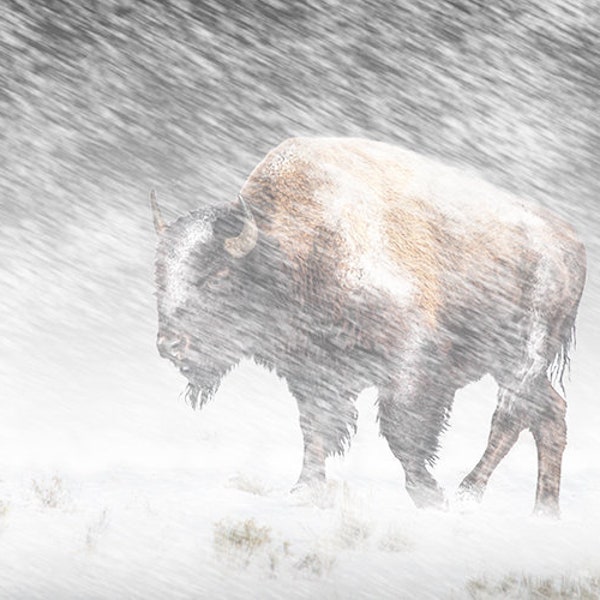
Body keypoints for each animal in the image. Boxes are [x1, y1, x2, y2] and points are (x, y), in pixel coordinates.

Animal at [151, 137, 584, 516]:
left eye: (216, 275)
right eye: (160, 278)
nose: (169, 346)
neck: (302, 245)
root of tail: (571, 243)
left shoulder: (411, 370)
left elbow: (402, 433)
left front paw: (429, 496)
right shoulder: (314, 372)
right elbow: (316, 428)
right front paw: (303, 491)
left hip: (520, 356)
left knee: (510, 418)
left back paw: (467, 495)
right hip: (513, 365)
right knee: (549, 414)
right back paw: (545, 512)